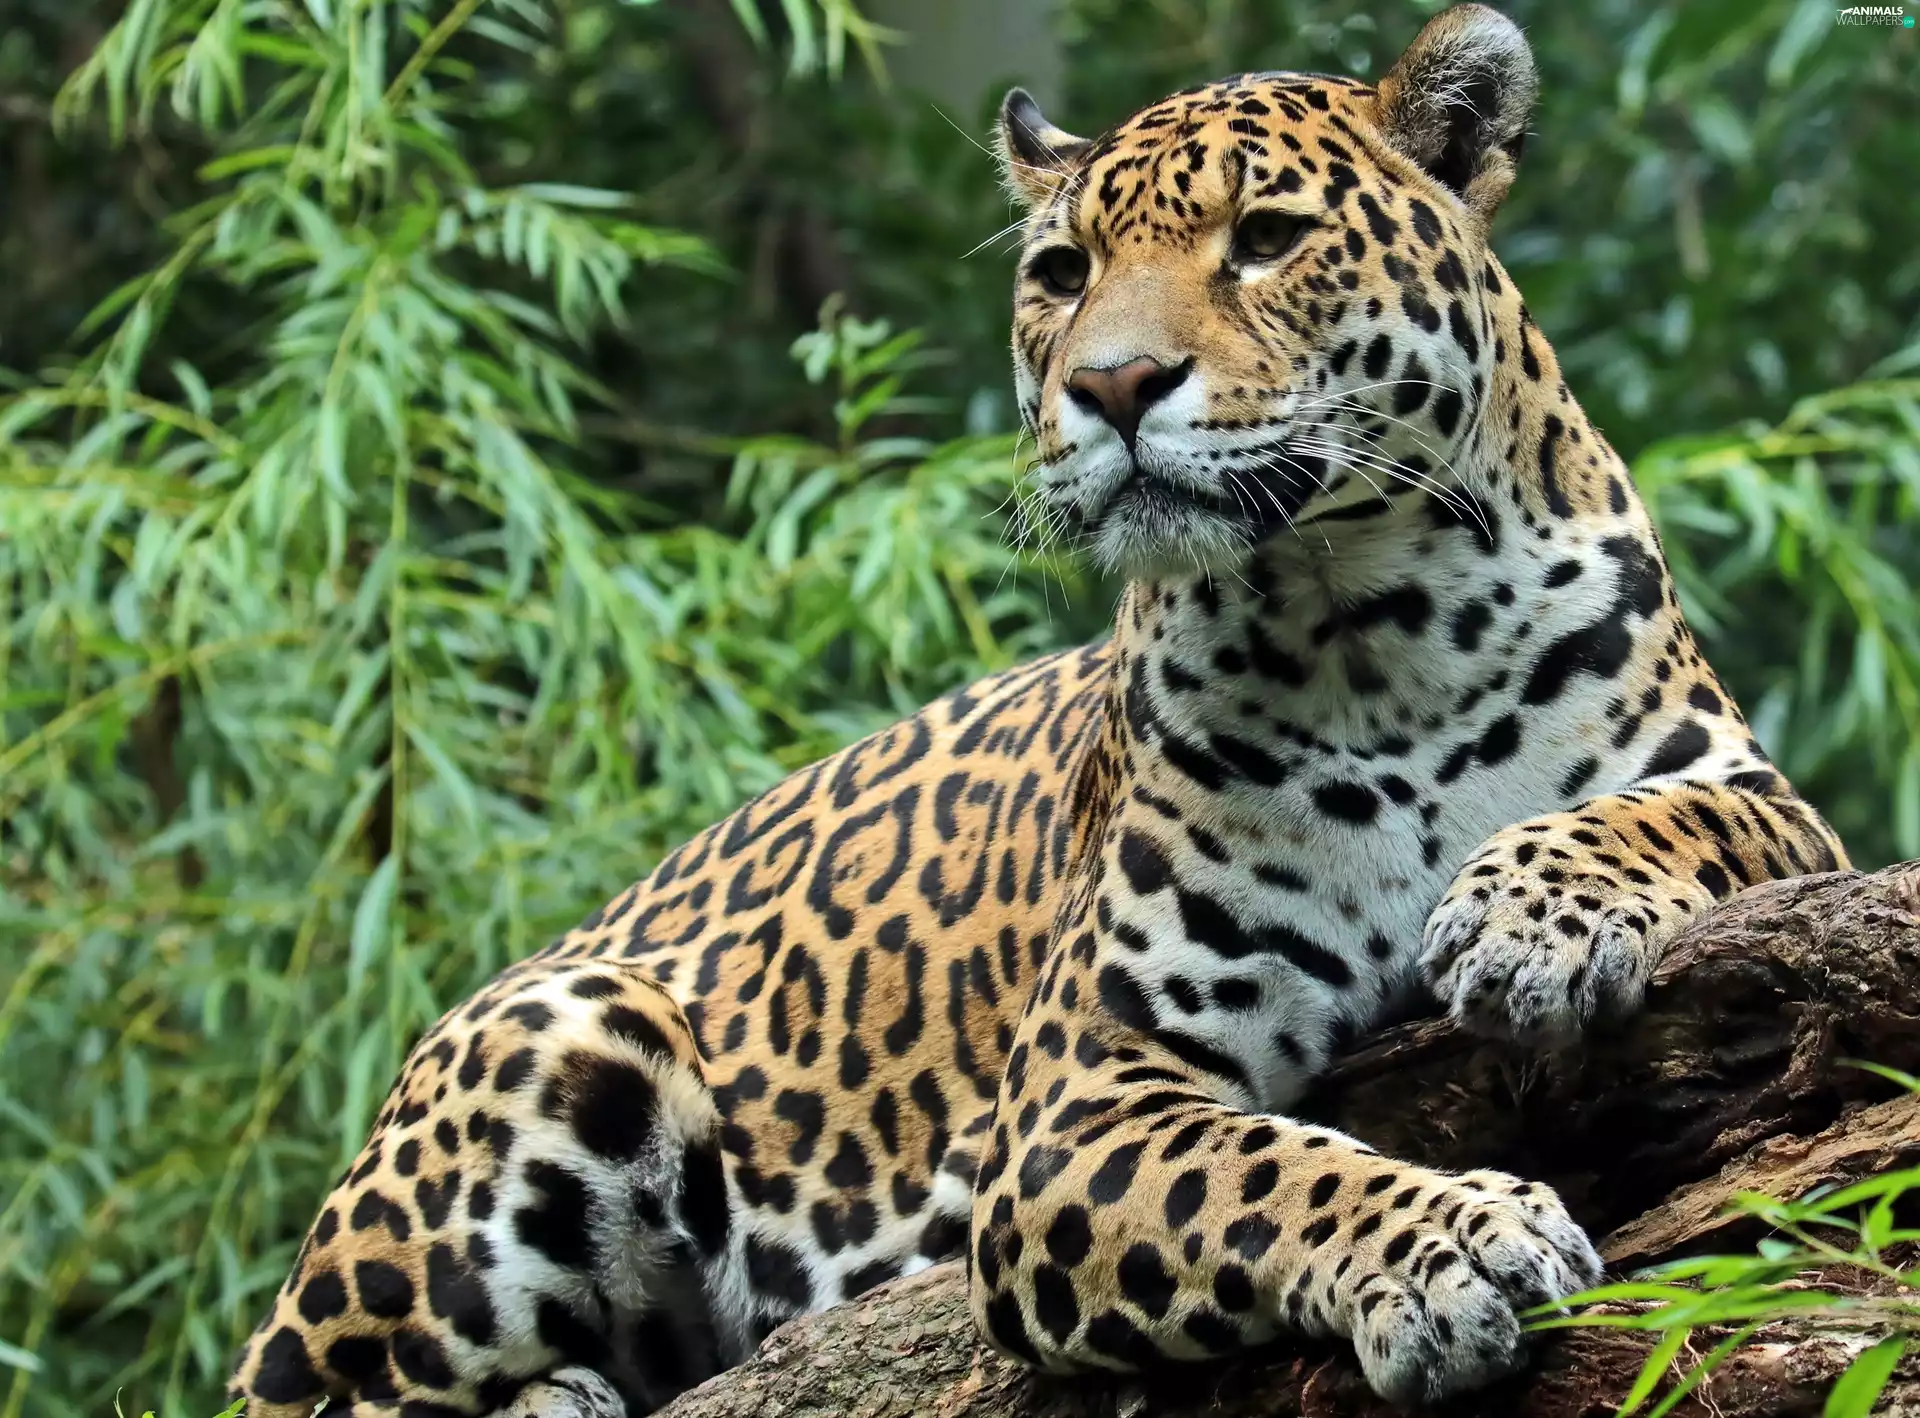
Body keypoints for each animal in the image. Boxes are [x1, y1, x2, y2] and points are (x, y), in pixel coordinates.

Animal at [230, 6, 1848, 1414]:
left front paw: (1527, 922)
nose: (1114, 386)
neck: (1371, 616)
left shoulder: (1768, 797)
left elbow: (1659, 815)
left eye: (1267, 240)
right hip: (568, 1021)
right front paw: (1454, 1243)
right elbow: (1272, 1171)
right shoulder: (1077, 1106)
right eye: (1063, 271)